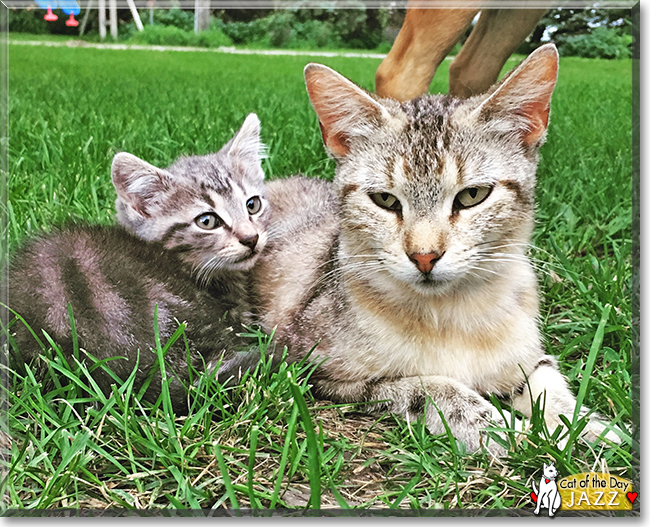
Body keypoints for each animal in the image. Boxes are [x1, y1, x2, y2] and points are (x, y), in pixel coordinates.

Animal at [251, 45, 616, 454]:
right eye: (384, 200)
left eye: (473, 195)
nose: (424, 256)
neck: (453, 315)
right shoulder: (311, 369)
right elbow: (435, 390)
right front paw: (513, 433)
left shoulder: (525, 356)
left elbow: (547, 381)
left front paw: (587, 426)